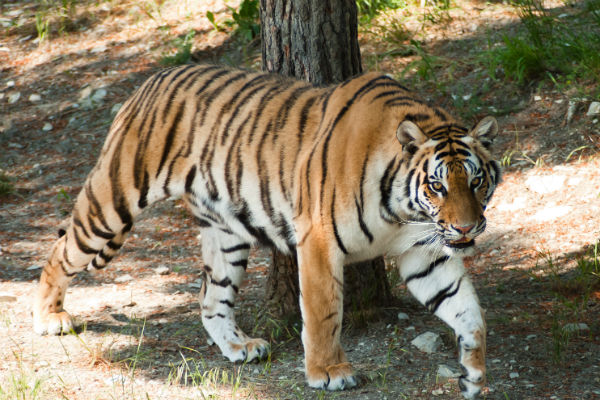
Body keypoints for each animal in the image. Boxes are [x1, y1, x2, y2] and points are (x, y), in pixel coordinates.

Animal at [34, 64, 502, 398]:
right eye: (438, 186)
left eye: (476, 181)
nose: (466, 226)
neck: (404, 209)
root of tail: (151, 80)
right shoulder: (319, 241)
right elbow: (324, 312)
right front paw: (328, 372)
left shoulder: (425, 253)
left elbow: (469, 311)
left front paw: (475, 373)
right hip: (111, 202)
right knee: (60, 250)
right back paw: (50, 318)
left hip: (226, 235)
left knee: (210, 298)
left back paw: (240, 347)